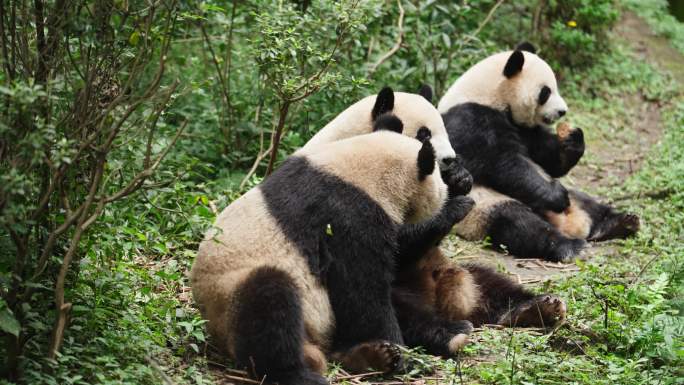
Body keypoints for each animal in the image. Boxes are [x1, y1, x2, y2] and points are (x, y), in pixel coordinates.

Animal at [438, 43, 640, 262]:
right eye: (546, 92)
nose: (562, 111)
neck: (489, 94)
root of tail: (567, 224)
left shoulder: (524, 128)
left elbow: (547, 159)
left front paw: (572, 140)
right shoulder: (471, 119)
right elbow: (502, 164)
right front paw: (557, 196)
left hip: (574, 199)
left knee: (588, 203)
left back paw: (621, 222)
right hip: (483, 206)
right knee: (519, 223)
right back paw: (570, 245)